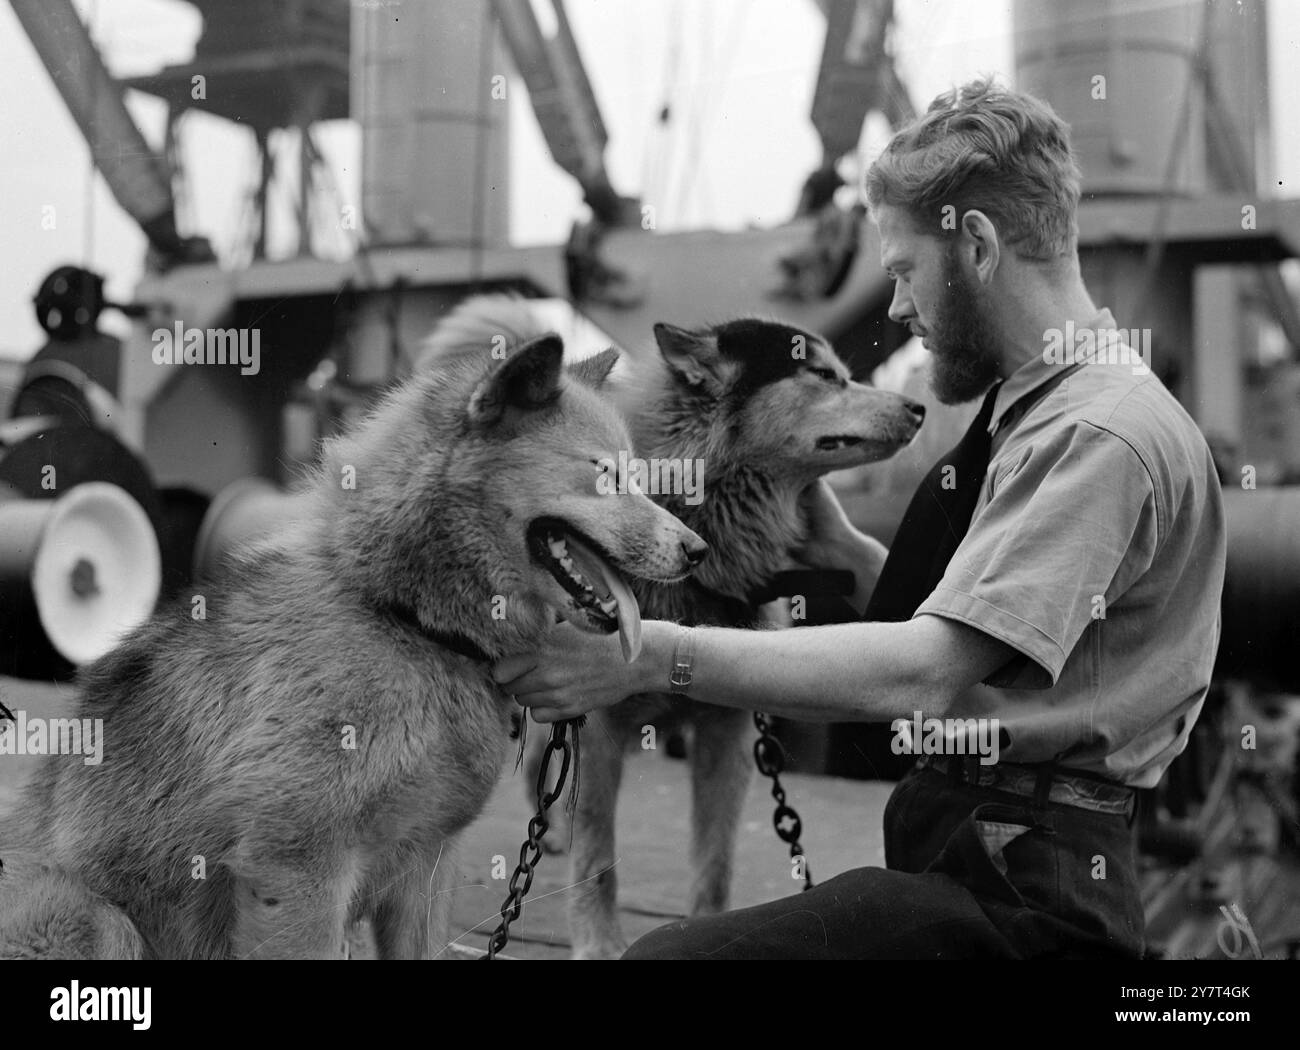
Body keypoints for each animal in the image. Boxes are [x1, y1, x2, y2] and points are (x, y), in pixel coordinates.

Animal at [0, 332, 707, 956]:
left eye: (635, 475)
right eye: (605, 475)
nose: (697, 551)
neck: (404, 621)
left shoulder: (425, 868)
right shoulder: (299, 872)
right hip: (92, 916)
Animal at [421, 294, 920, 961]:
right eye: (822, 375)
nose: (919, 409)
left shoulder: (727, 735)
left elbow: (716, 861)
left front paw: (707, 922)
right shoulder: (600, 729)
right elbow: (598, 857)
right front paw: (598, 941)